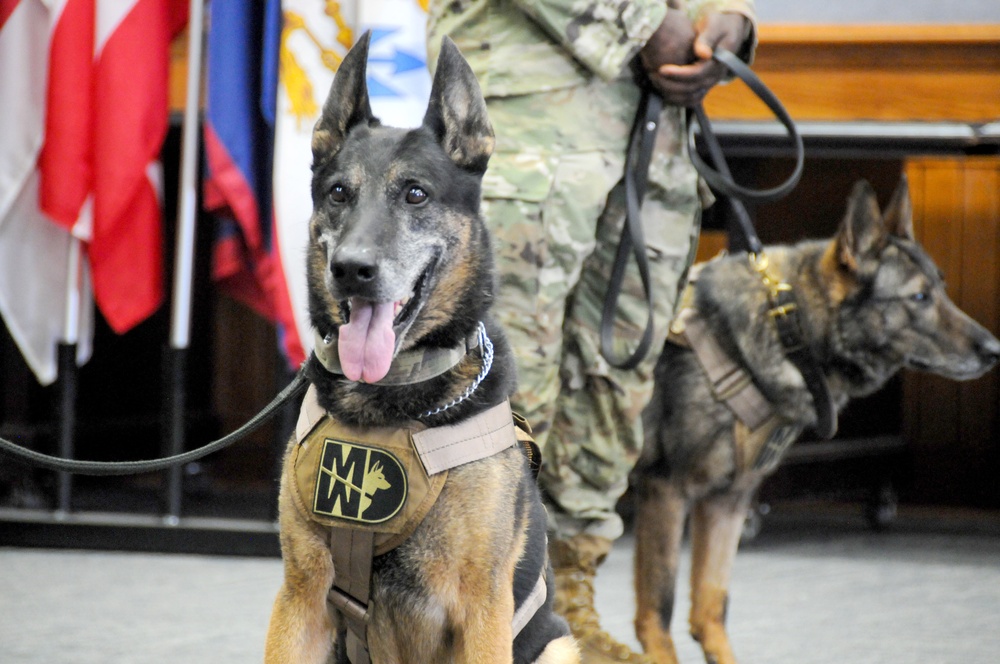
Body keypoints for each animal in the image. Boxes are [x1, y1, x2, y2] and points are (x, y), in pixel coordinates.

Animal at [264, 35, 580, 664]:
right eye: (339, 193)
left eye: (415, 194)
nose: (351, 270)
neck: (384, 401)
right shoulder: (300, 599)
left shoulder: (483, 613)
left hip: (560, 645)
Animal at [632, 178, 1000, 664]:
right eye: (919, 297)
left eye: (941, 290)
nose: (994, 350)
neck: (786, 329)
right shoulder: (666, 491)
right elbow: (658, 611)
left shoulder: (728, 501)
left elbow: (711, 607)